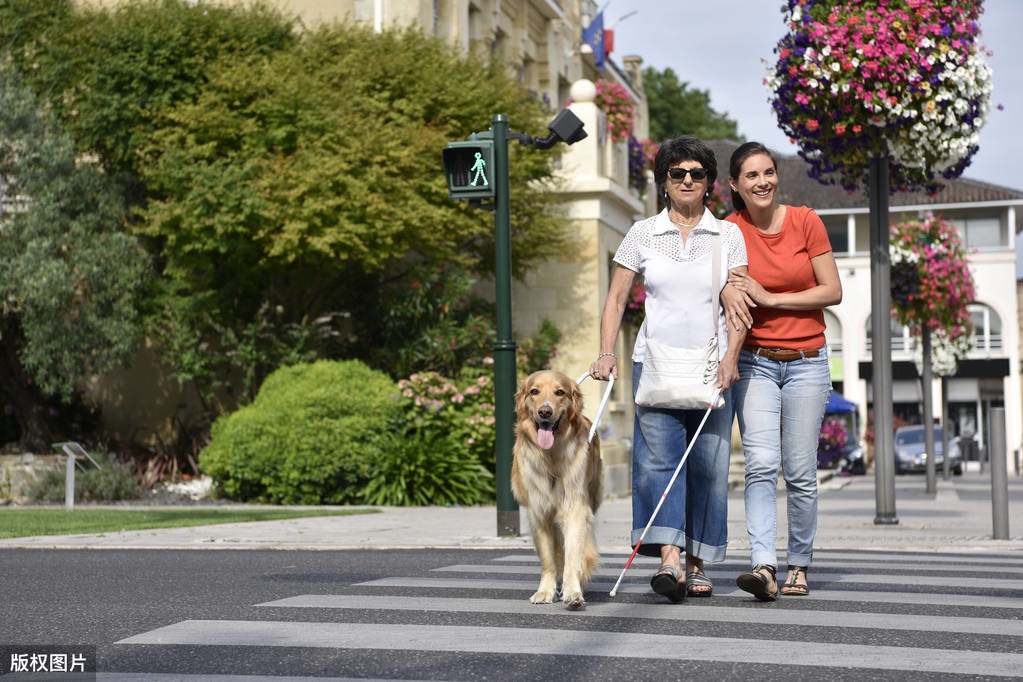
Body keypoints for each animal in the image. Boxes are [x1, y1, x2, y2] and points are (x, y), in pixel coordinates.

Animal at [509, 370, 597, 609]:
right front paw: (545, 591)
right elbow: (549, 560)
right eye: (534, 391)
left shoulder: (575, 509)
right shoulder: (538, 513)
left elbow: (573, 554)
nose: (545, 411)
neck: (551, 456)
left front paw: (573, 591)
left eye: (560, 392)